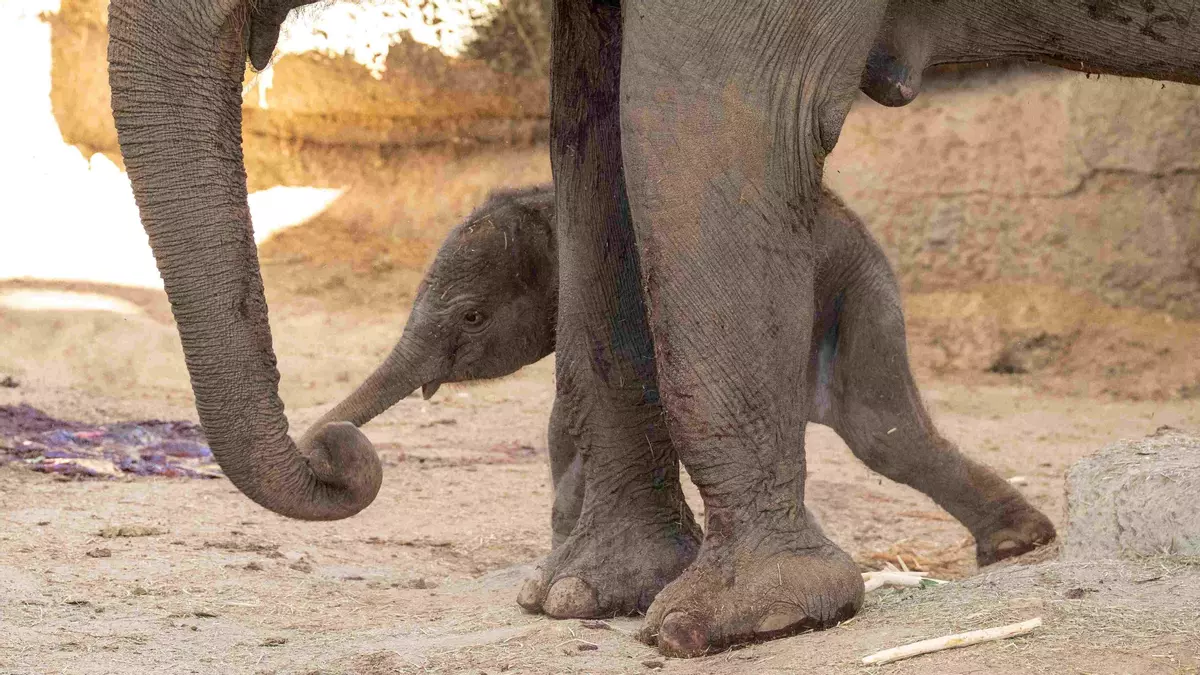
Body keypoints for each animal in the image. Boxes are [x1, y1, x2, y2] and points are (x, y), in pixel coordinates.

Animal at [106, 0, 1200, 658]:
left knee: (877, 423)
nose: (339, 453)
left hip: (860, 286)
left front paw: (728, 621)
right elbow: (594, 131)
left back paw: (1013, 545)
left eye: (468, 318)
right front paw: (582, 597)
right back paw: (1018, 543)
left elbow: (694, 122)